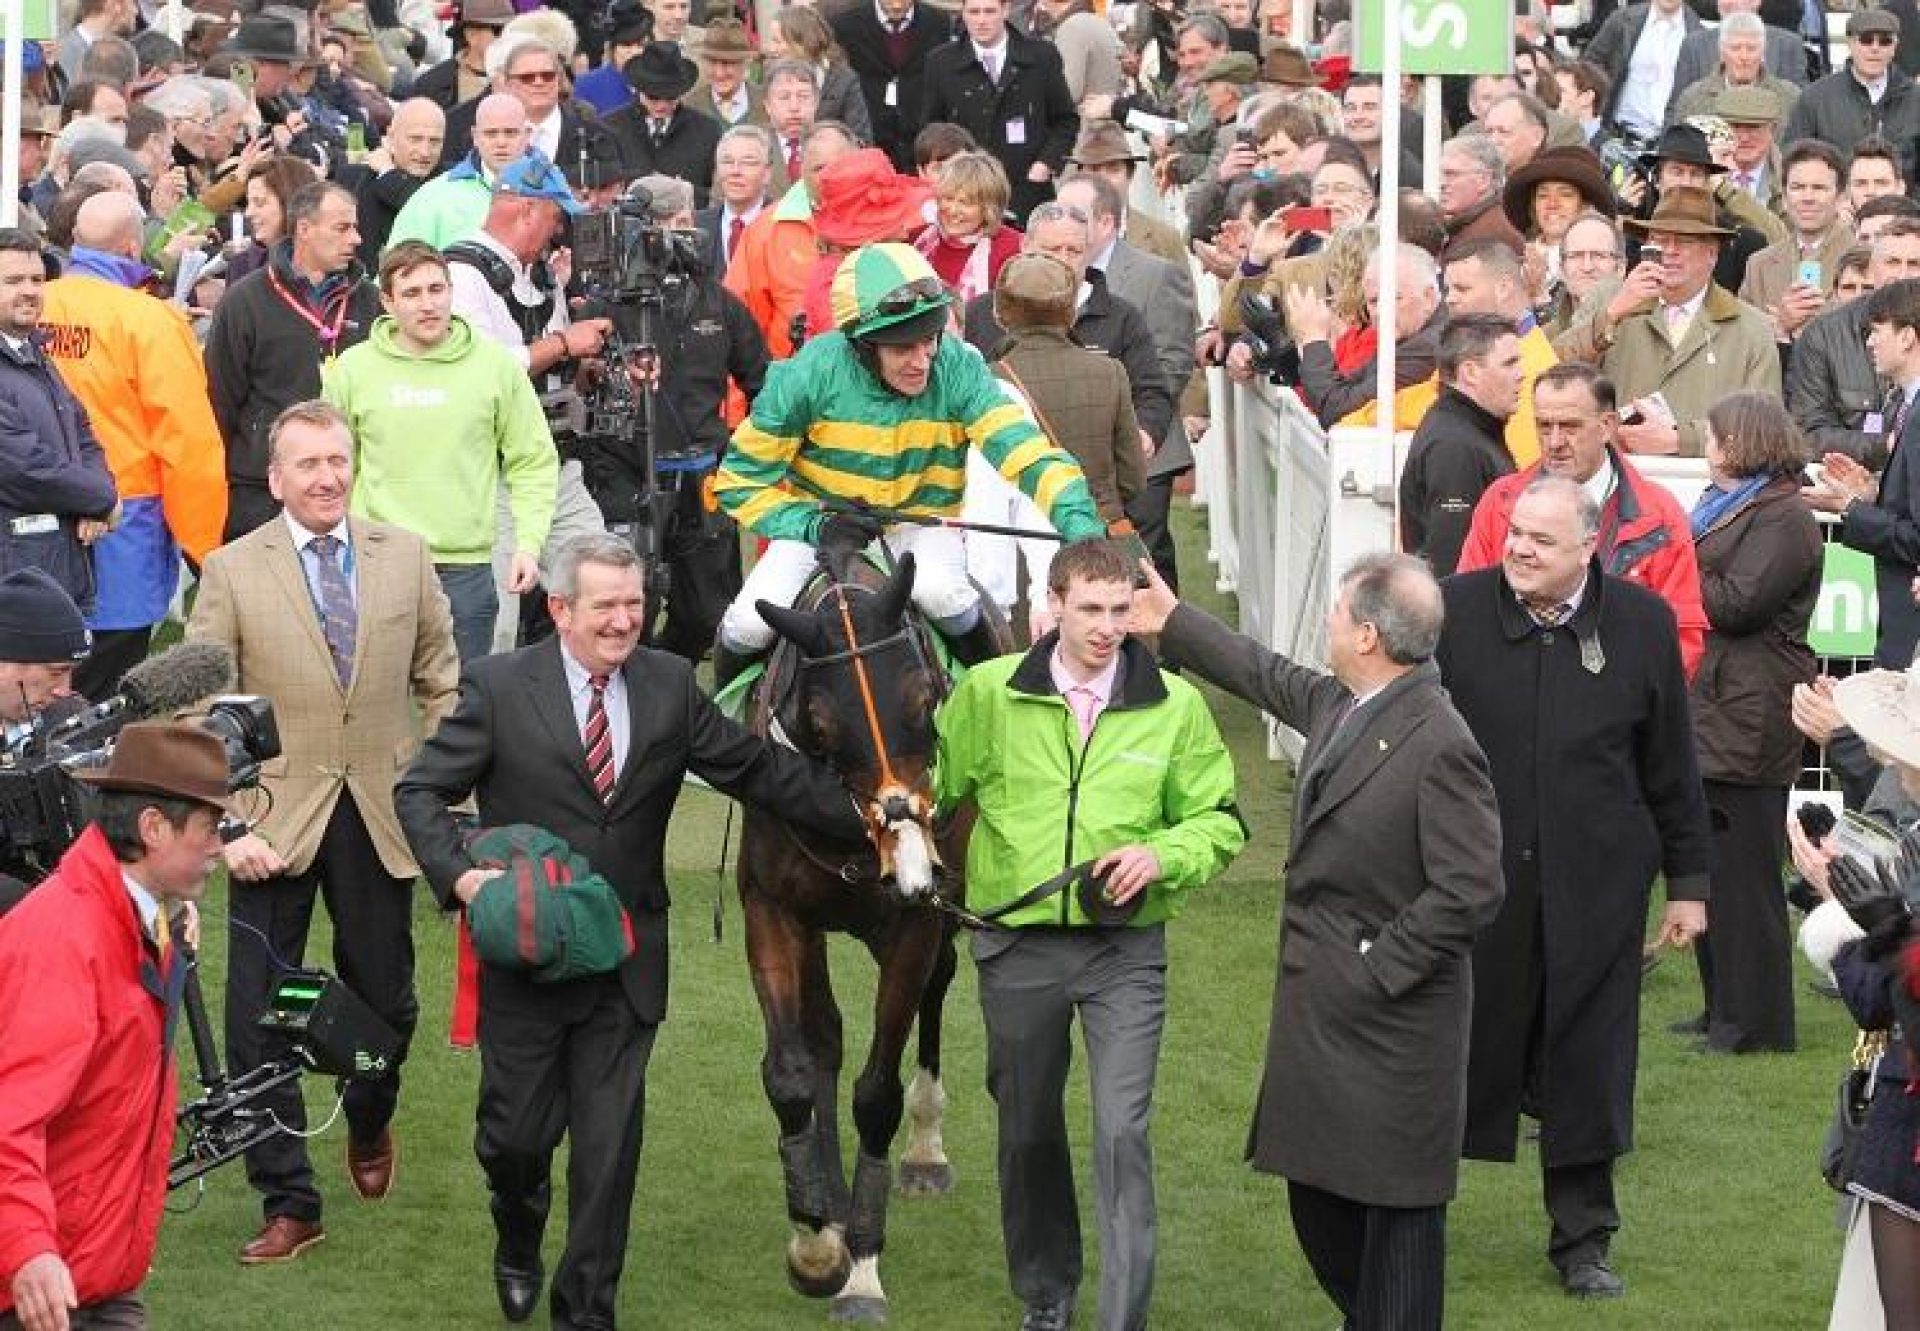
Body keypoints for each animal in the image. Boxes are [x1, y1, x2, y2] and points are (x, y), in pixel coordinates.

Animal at [737, 549, 1006, 1321]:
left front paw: (861, 1269)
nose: (907, 863)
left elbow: (877, 1092)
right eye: (821, 724)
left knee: (939, 985)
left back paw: (925, 1150)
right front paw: (815, 1240)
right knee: (824, 1033)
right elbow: (792, 1068)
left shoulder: (916, 920)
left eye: (925, 703)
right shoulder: (772, 908)